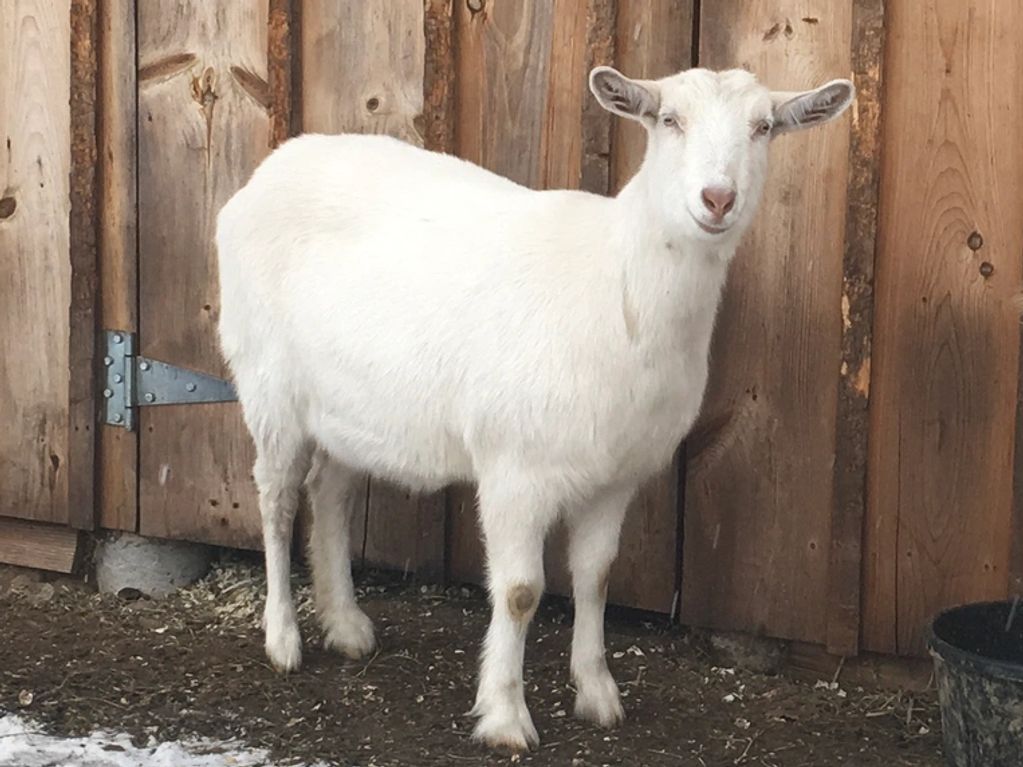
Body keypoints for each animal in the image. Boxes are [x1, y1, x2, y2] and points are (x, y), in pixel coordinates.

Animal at [217, 65, 855, 752]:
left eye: (764, 127)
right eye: (668, 120)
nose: (717, 199)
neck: (619, 287)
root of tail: (269, 169)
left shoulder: (617, 475)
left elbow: (596, 577)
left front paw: (598, 694)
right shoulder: (514, 469)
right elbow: (522, 592)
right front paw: (504, 716)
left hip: (348, 405)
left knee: (329, 489)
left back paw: (346, 624)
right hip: (269, 384)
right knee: (276, 499)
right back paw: (283, 637)